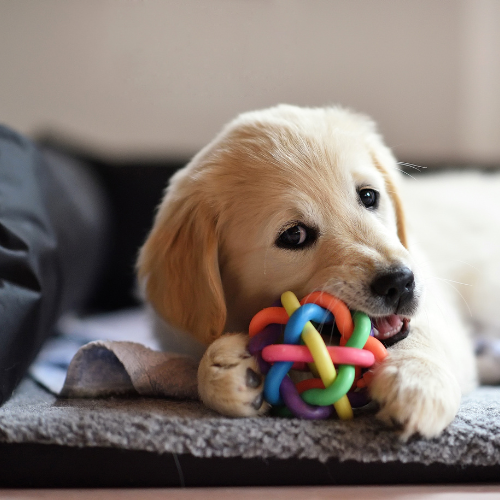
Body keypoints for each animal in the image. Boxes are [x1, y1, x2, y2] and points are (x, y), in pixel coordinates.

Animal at [137, 104, 476, 438]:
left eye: (369, 196)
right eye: (294, 235)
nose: (400, 283)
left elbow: (424, 334)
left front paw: (416, 381)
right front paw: (223, 371)